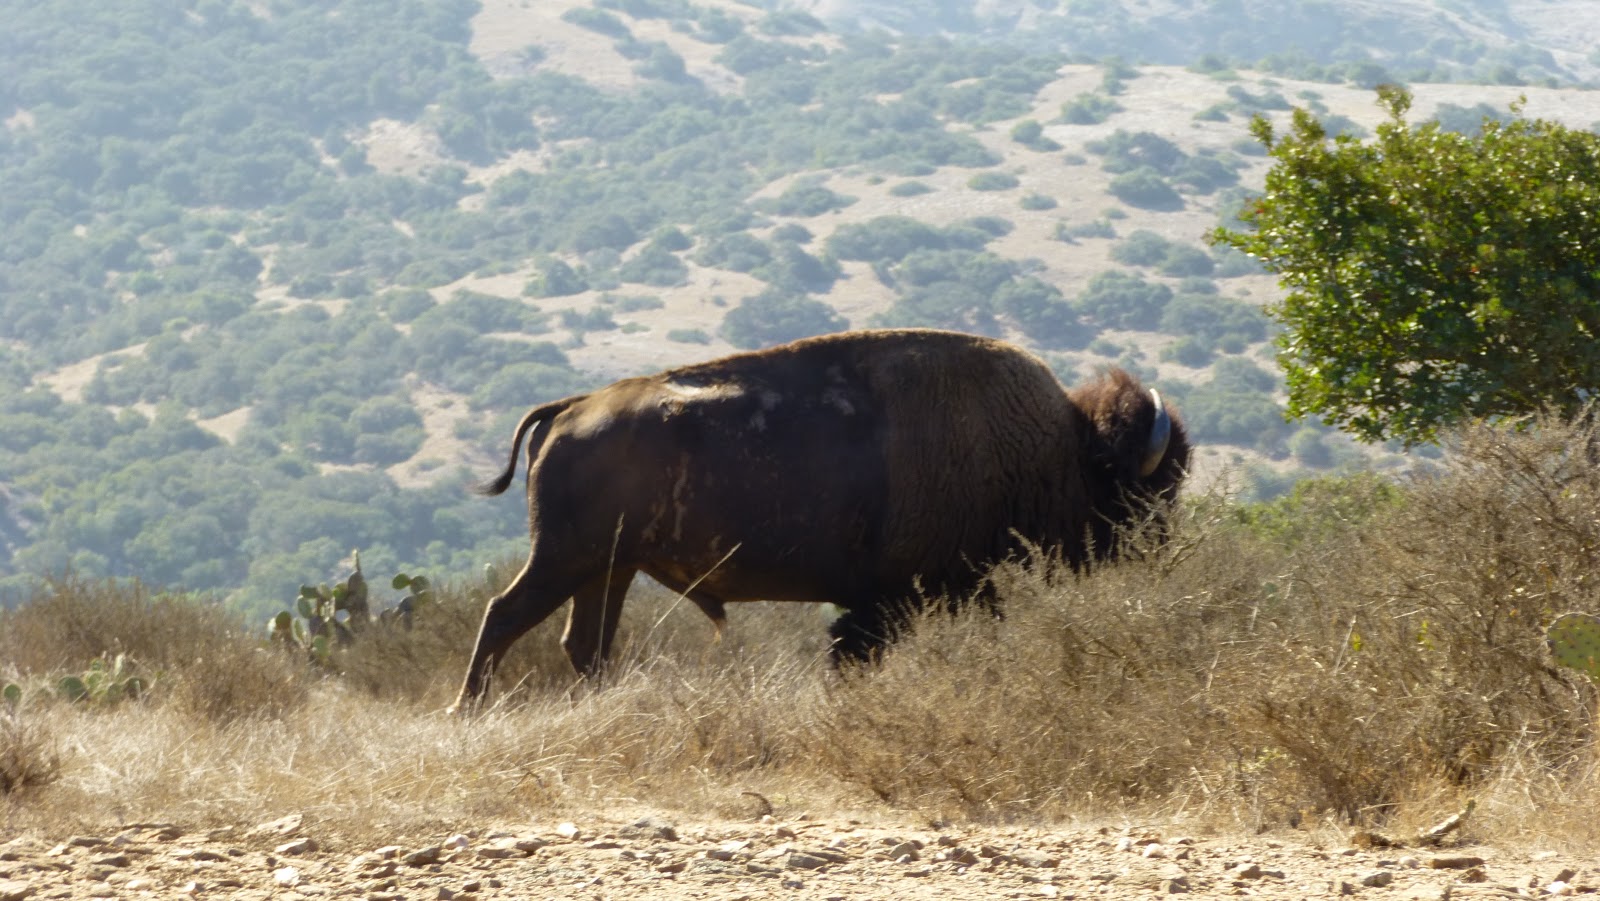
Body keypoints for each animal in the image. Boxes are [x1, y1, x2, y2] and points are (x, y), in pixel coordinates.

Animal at [453, 328, 1189, 710]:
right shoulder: (899, 598)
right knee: (503, 615)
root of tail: (573, 407)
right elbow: (853, 651)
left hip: (608, 567)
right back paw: (470, 709)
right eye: (1143, 491)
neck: (1058, 448)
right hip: (565, 559)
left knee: (584, 641)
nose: (1161, 555)